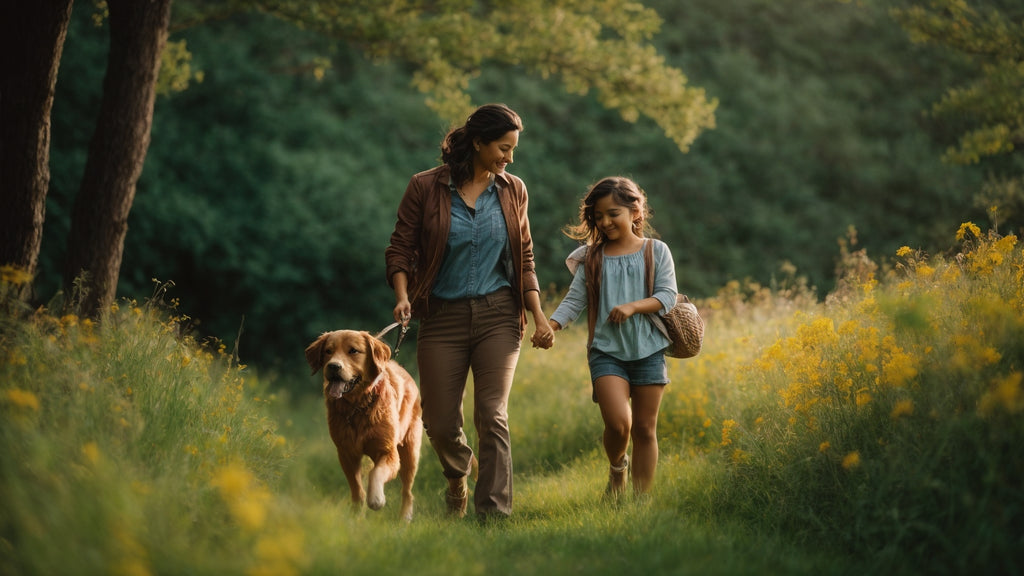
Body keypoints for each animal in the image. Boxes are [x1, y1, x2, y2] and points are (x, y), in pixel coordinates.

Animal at [301, 327, 421, 520]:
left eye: (353, 351)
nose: (333, 366)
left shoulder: (389, 452)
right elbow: (357, 488)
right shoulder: (346, 452)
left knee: (407, 491)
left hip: (410, 451)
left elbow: (375, 473)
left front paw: (376, 498)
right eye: (328, 351)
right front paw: (356, 515)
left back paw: (404, 517)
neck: (357, 406)